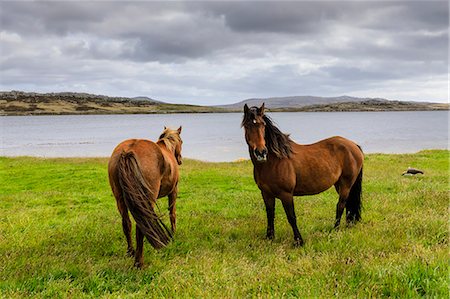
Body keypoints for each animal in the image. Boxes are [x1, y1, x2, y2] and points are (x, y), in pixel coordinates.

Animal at [241, 104, 364, 247]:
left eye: (263, 125)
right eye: (247, 126)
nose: (261, 152)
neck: (273, 162)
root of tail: (353, 145)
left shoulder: (286, 194)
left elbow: (291, 217)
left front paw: (298, 241)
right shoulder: (266, 194)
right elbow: (270, 215)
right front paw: (269, 238)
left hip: (346, 184)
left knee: (340, 205)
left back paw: (335, 230)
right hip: (339, 184)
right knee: (347, 205)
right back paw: (347, 225)